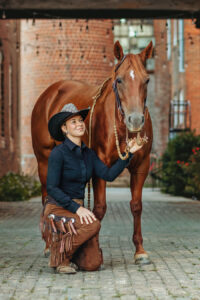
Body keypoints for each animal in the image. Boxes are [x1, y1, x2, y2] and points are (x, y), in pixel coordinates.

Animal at [30, 40, 153, 264]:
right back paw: (48, 246)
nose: (135, 120)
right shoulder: (99, 166)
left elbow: (136, 205)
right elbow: (99, 209)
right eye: (119, 80)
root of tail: (50, 93)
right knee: (46, 200)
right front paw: (91, 247)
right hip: (44, 161)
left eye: (146, 80)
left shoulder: (141, 166)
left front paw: (140, 250)